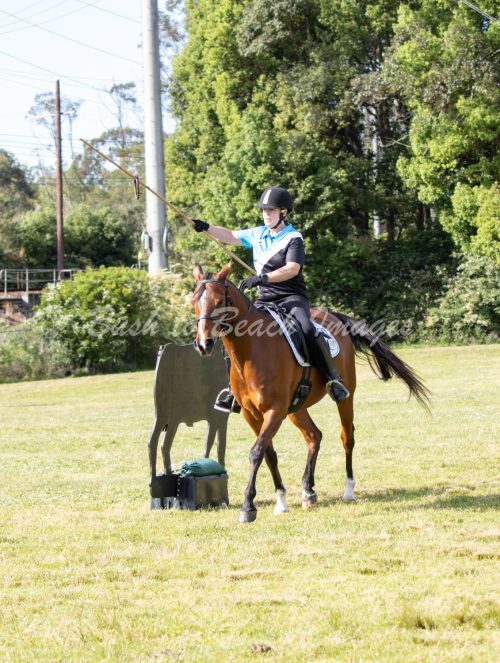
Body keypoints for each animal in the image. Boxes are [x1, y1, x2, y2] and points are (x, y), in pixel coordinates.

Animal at [192, 263, 430, 523]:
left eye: (218, 301)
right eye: (194, 301)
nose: (204, 344)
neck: (250, 350)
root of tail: (334, 316)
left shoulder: (274, 411)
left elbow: (256, 452)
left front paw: (248, 507)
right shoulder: (251, 414)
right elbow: (268, 454)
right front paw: (281, 501)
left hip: (344, 399)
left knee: (347, 437)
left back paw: (348, 490)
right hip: (297, 408)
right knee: (314, 436)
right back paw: (308, 491)